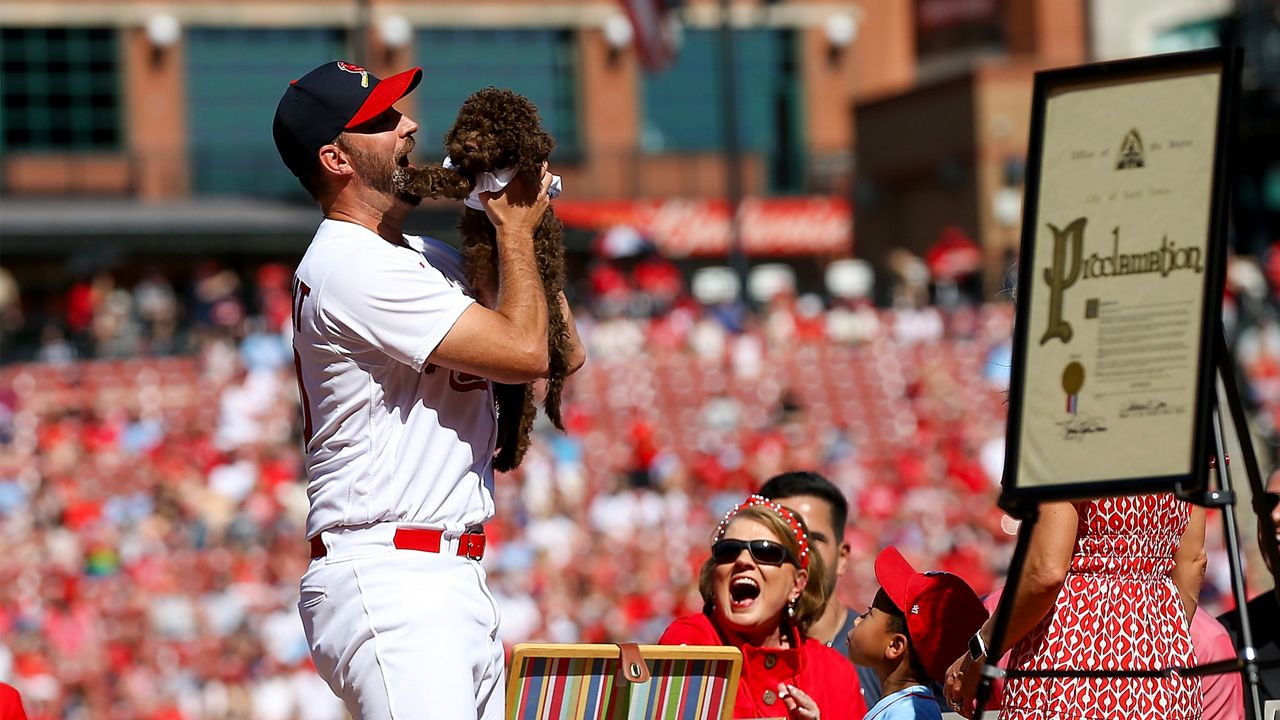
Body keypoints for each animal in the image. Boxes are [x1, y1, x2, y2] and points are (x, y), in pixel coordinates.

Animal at [391, 87, 568, 468]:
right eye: (468, 123)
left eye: (498, 130)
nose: (468, 145)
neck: (493, 165)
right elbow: (448, 173)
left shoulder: (483, 180)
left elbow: (446, 177)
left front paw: (411, 179)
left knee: (524, 409)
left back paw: (509, 456)